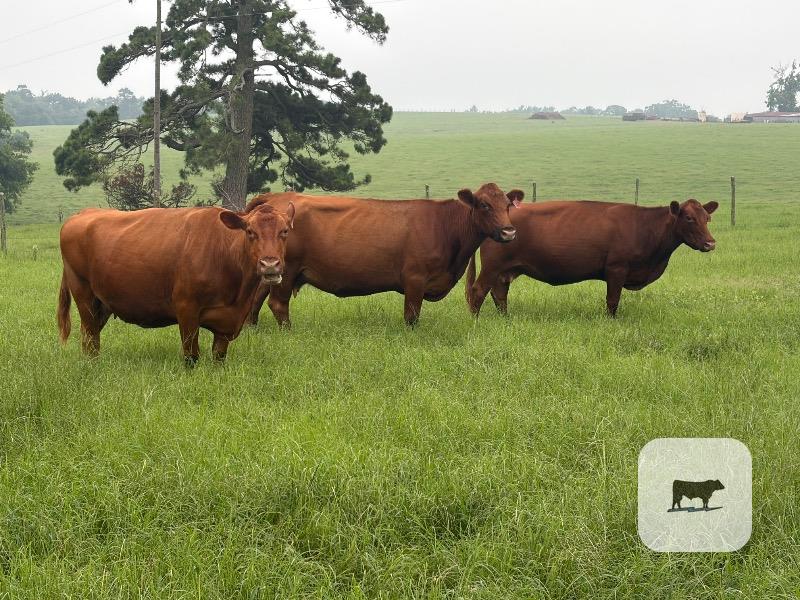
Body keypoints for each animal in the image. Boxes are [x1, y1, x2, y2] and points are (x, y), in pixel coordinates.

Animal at [58, 203, 295, 365]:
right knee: (90, 336)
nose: (270, 264)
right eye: (250, 232)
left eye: (284, 231)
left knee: (91, 336)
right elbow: (191, 355)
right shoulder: (186, 309)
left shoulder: (227, 322)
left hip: (103, 302)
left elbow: (218, 356)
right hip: (83, 293)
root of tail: (83, 213)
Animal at [245, 184, 524, 327]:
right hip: (287, 270)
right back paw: (287, 331)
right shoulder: (415, 279)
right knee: (277, 303)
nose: (509, 231)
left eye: (508, 205)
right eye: (484, 205)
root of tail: (277, 196)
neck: (444, 225)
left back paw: (252, 327)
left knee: (257, 297)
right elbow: (412, 317)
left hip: (272, 270)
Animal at [466, 199, 718, 317]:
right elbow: (612, 301)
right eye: (689, 218)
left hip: (504, 271)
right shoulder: (617, 269)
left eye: (707, 218)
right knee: (478, 291)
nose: (710, 243)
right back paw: (476, 321)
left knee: (499, 294)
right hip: (492, 267)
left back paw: (505, 318)